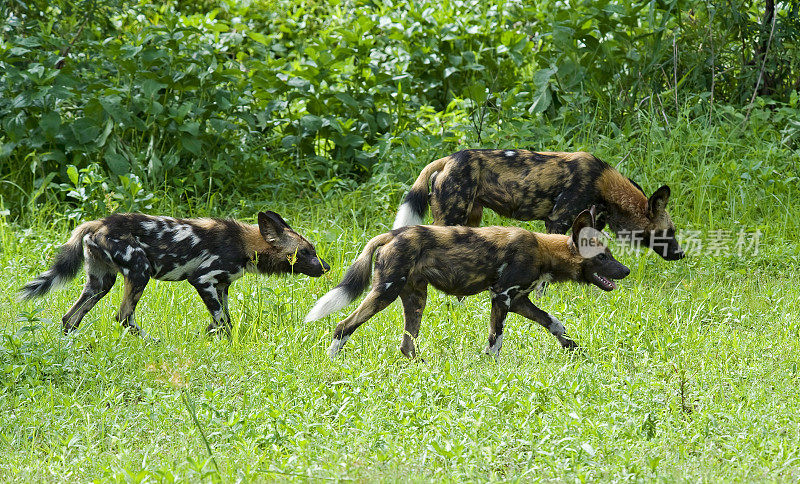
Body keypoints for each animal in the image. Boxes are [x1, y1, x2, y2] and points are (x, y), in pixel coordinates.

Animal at [19, 210, 332, 338]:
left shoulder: (221, 286)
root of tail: (99, 223)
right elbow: (223, 321)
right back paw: (152, 342)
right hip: (139, 272)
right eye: (306, 252)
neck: (245, 244)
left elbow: (223, 319)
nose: (327, 267)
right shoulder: (203, 280)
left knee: (70, 318)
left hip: (100, 283)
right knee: (123, 317)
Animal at [308, 206, 632, 358]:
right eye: (603, 257)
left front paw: (571, 346)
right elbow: (496, 339)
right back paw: (332, 360)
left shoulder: (518, 300)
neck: (544, 251)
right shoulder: (501, 297)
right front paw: (491, 367)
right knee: (343, 325)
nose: (626, 270)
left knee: (407, 345)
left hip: (415, 298)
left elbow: (551, 321)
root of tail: (392, 234)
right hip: (384, 292)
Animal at [390, 150, 684, 260]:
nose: (681, 254)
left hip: (470, 218)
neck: (605, 186)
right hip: (450, 217)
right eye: (667, 232)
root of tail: (449, 158)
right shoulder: (557, 220)